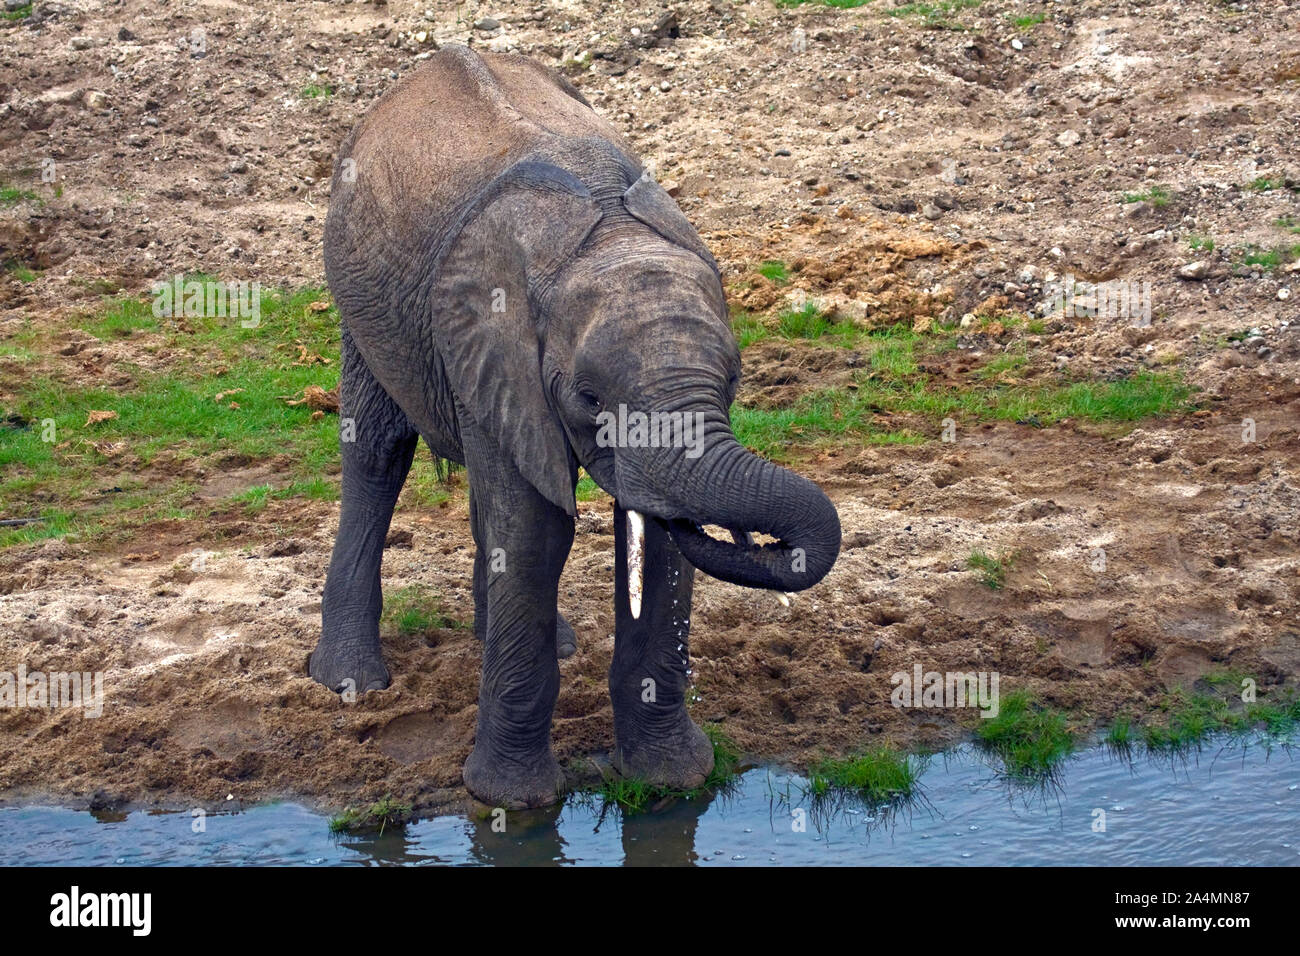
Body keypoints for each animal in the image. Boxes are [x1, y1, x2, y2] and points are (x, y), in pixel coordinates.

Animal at [306, 44, 842, 806]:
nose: (748, 534)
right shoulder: (489, 344)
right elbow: (536, 535)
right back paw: (351, 681)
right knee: (378, 454)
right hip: (359, 298)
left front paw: (670, 781)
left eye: (735, 380)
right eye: (588, 397)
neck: (603, 236)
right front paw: (512, 802)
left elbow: (655, 543)